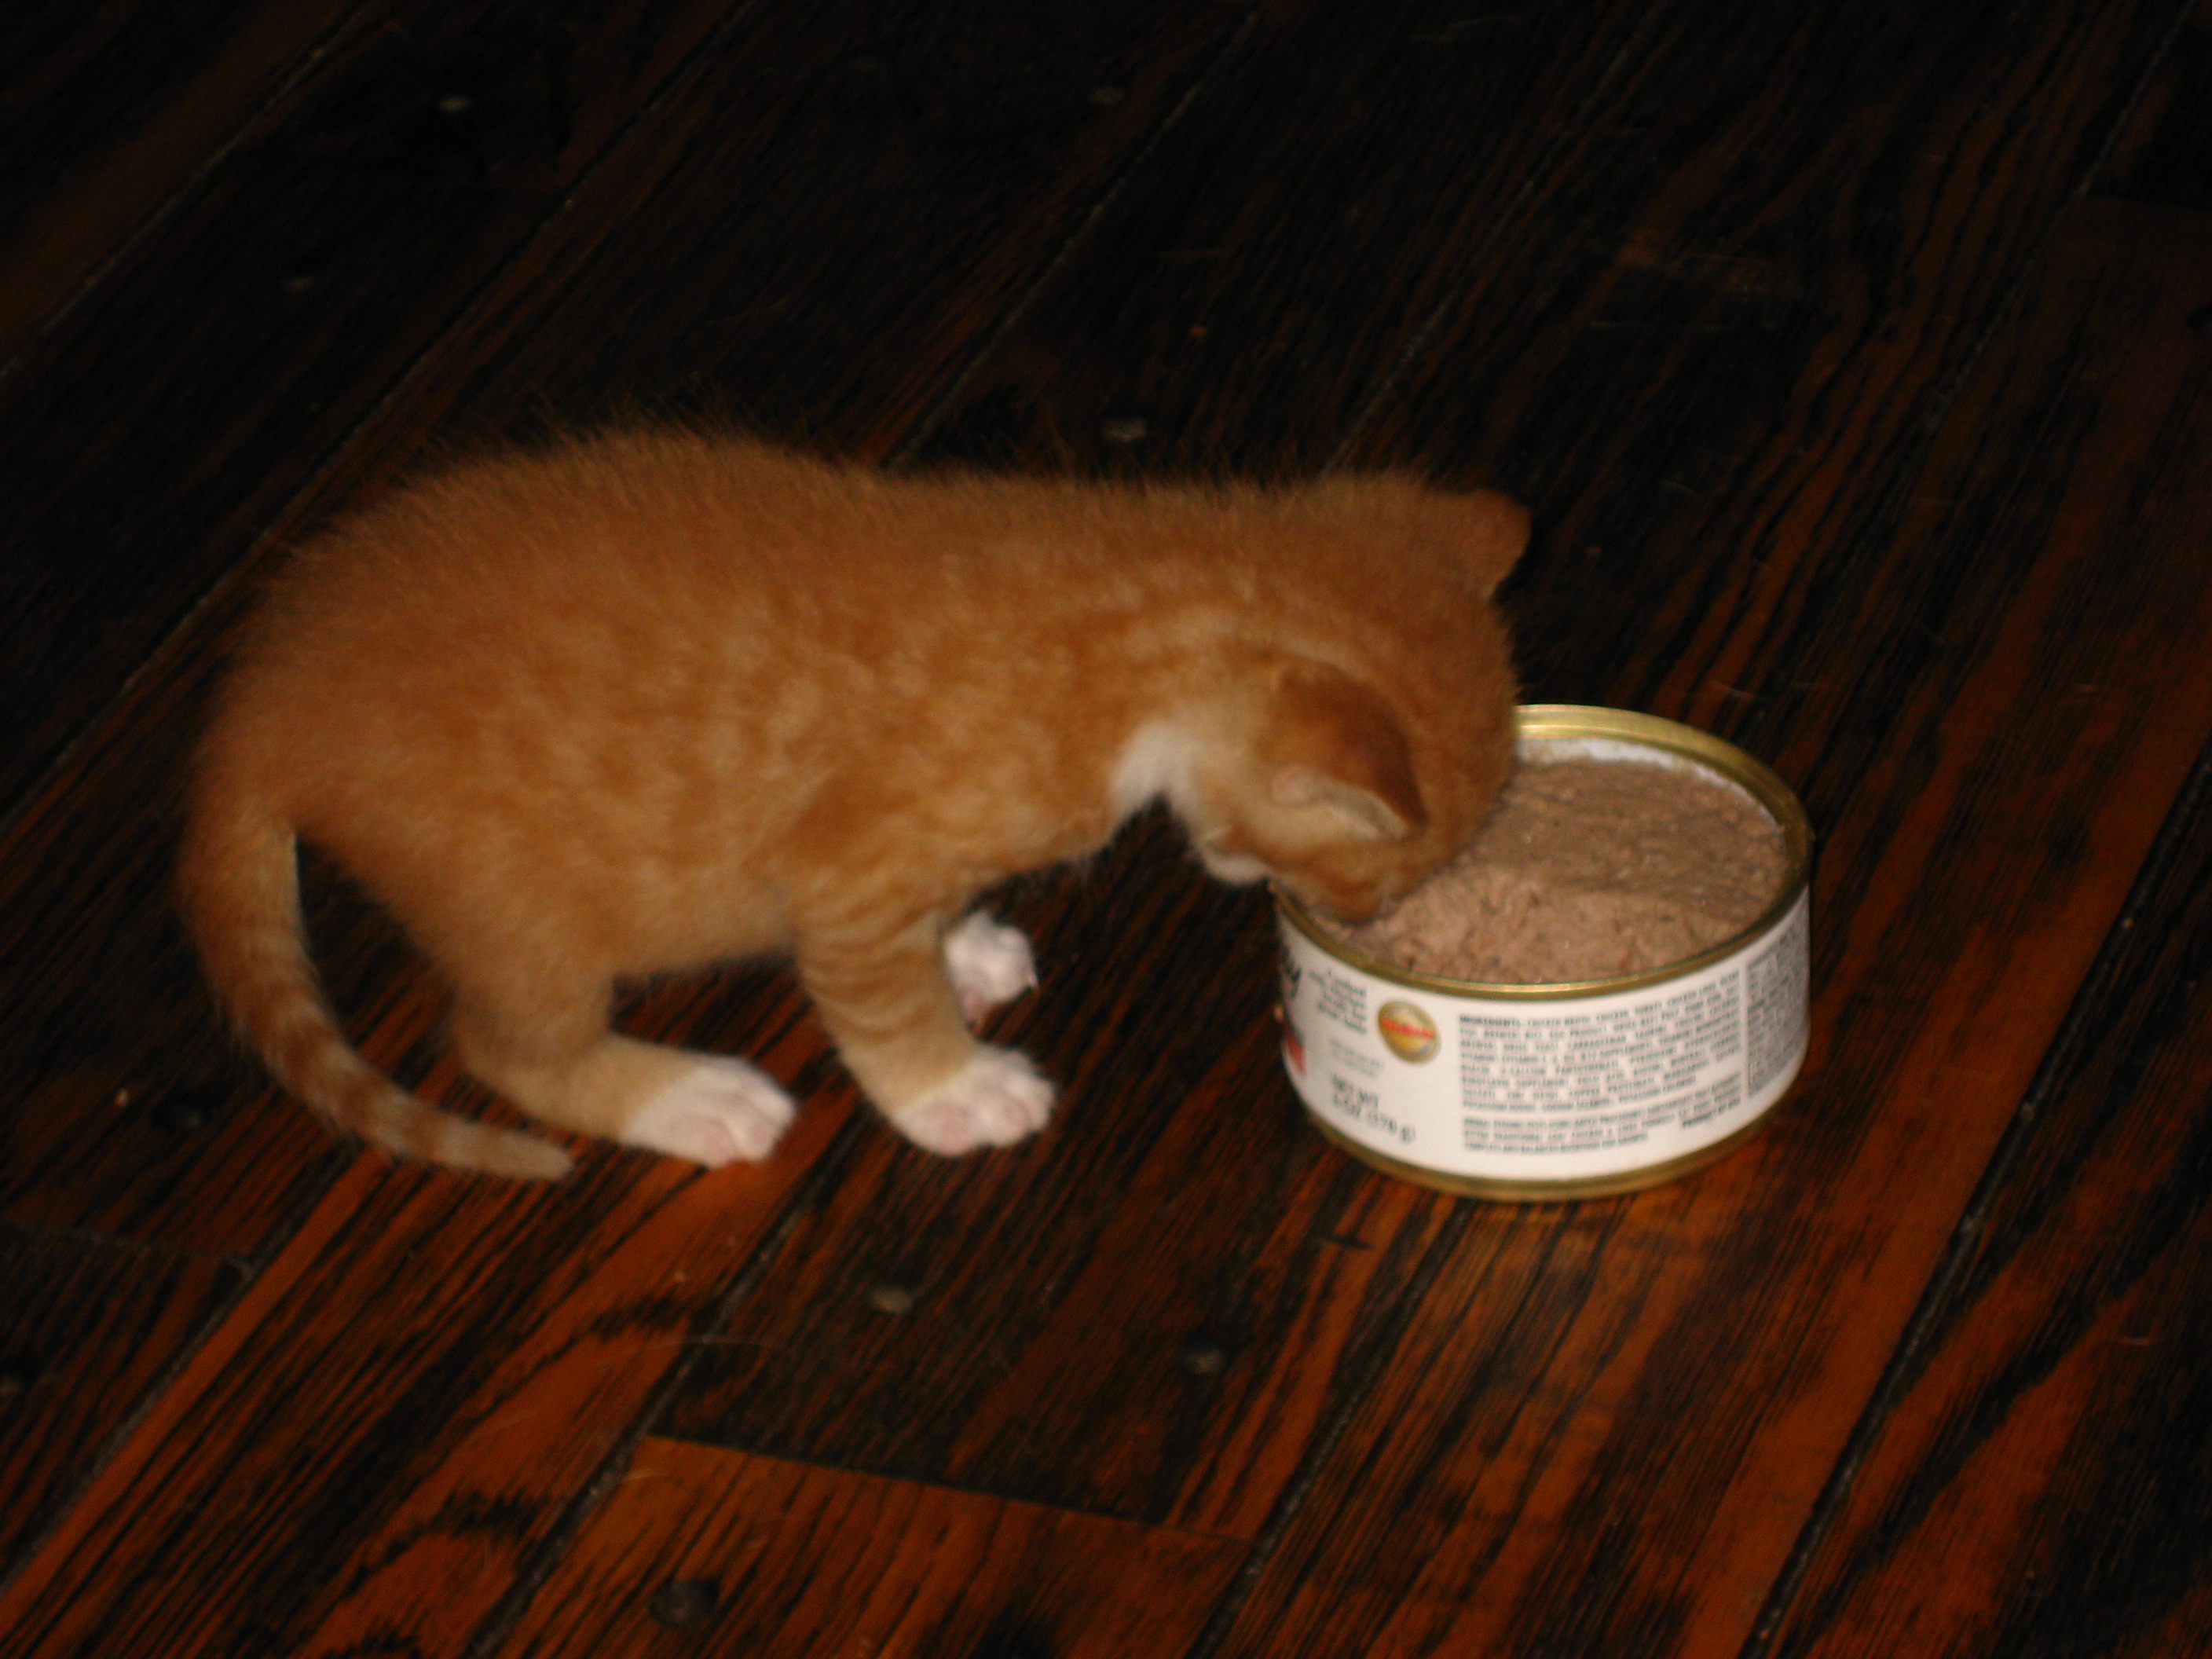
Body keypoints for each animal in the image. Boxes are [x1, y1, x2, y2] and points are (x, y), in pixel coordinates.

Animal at [179, 429, 1526, 1179]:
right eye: (1382, 878)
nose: (1372, 930)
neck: (1131, 619)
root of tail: (265, 701)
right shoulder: (849, 873)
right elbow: (876, 1002)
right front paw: (953, 1088)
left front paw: (964, 950)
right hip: (520, 919)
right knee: (506, 1049)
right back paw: (692, 1098)